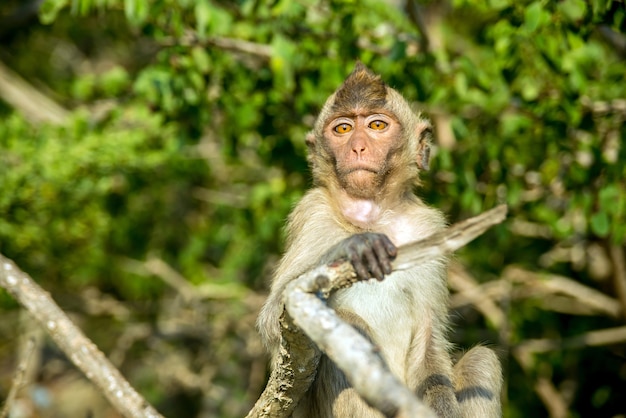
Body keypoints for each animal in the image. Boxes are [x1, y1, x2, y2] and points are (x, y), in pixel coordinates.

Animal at [256, 62, 500, 418]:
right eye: (343, 129)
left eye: (377, 125)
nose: (357, 147)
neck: (371, 216)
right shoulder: (311, 214)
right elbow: (275, 321)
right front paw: (353, 247)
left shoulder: (429, 230)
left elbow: (429, 342)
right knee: (347, 326)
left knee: (484, 358)